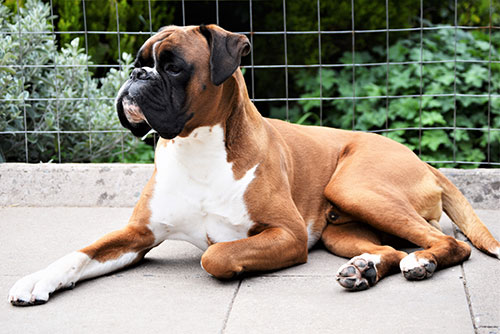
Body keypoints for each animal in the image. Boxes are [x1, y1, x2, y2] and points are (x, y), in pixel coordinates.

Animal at [8, 23, 500, 306]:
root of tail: (420, 159)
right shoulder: (136, 235)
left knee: (448, 243)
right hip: (342, 228)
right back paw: (365, 268)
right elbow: (80, 253)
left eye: (173, 67)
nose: (135, 76)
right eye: (139, 62)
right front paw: (36, 281)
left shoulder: (286, 234)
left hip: (355, 188)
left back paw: (421, 262)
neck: (196, 148)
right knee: (391, 250)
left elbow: (216, 254)